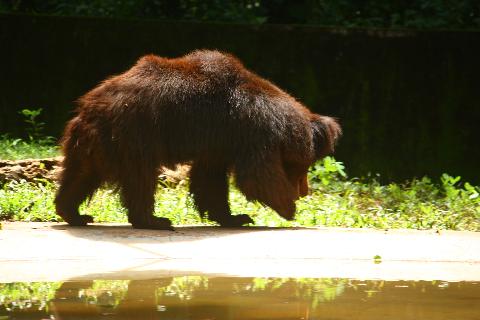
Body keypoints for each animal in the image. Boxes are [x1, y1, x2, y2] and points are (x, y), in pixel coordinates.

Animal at [55, 50, 342, 229]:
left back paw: (74, 214)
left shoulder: (217, 143)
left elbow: (210, 179)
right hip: (135, 137)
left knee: (80, 176)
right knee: (141, 179)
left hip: (90, 145)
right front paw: (288, 208)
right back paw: (155, 221)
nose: (305, 192)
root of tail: (90, 107)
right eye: (303, 167)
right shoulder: (251, 130)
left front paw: (236, 217)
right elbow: (257, 175)